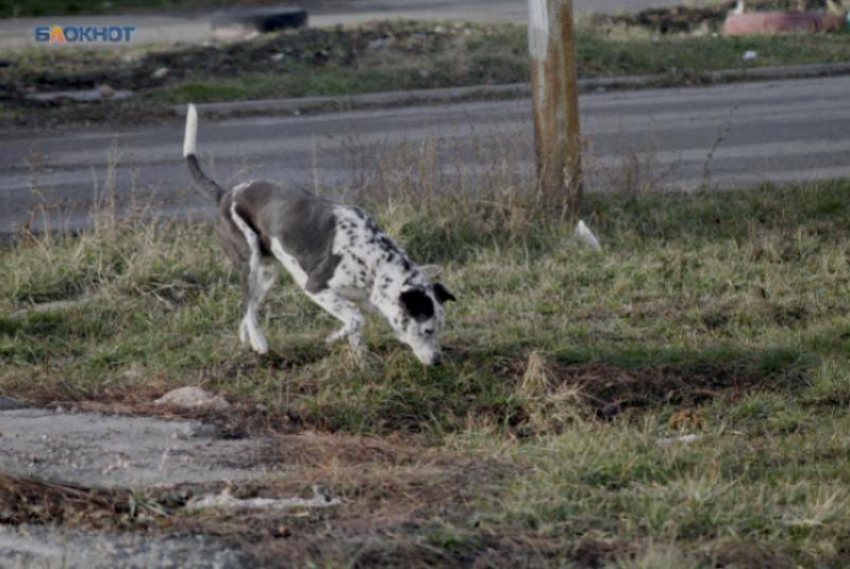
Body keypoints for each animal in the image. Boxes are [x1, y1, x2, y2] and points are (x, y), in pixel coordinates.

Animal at [181, 103, 454, 364]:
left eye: (441, 328)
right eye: (428, 330)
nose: (438, 361)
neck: (374, 263)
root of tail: (225, 194)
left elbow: (357, 329)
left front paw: (362, 363)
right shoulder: (316, 287)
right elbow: (356, 319)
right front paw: (334, 338)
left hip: (268, 273)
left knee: (249, 308)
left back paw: (248, 340)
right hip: (250, 260)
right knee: (247, 304)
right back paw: (259, 342)